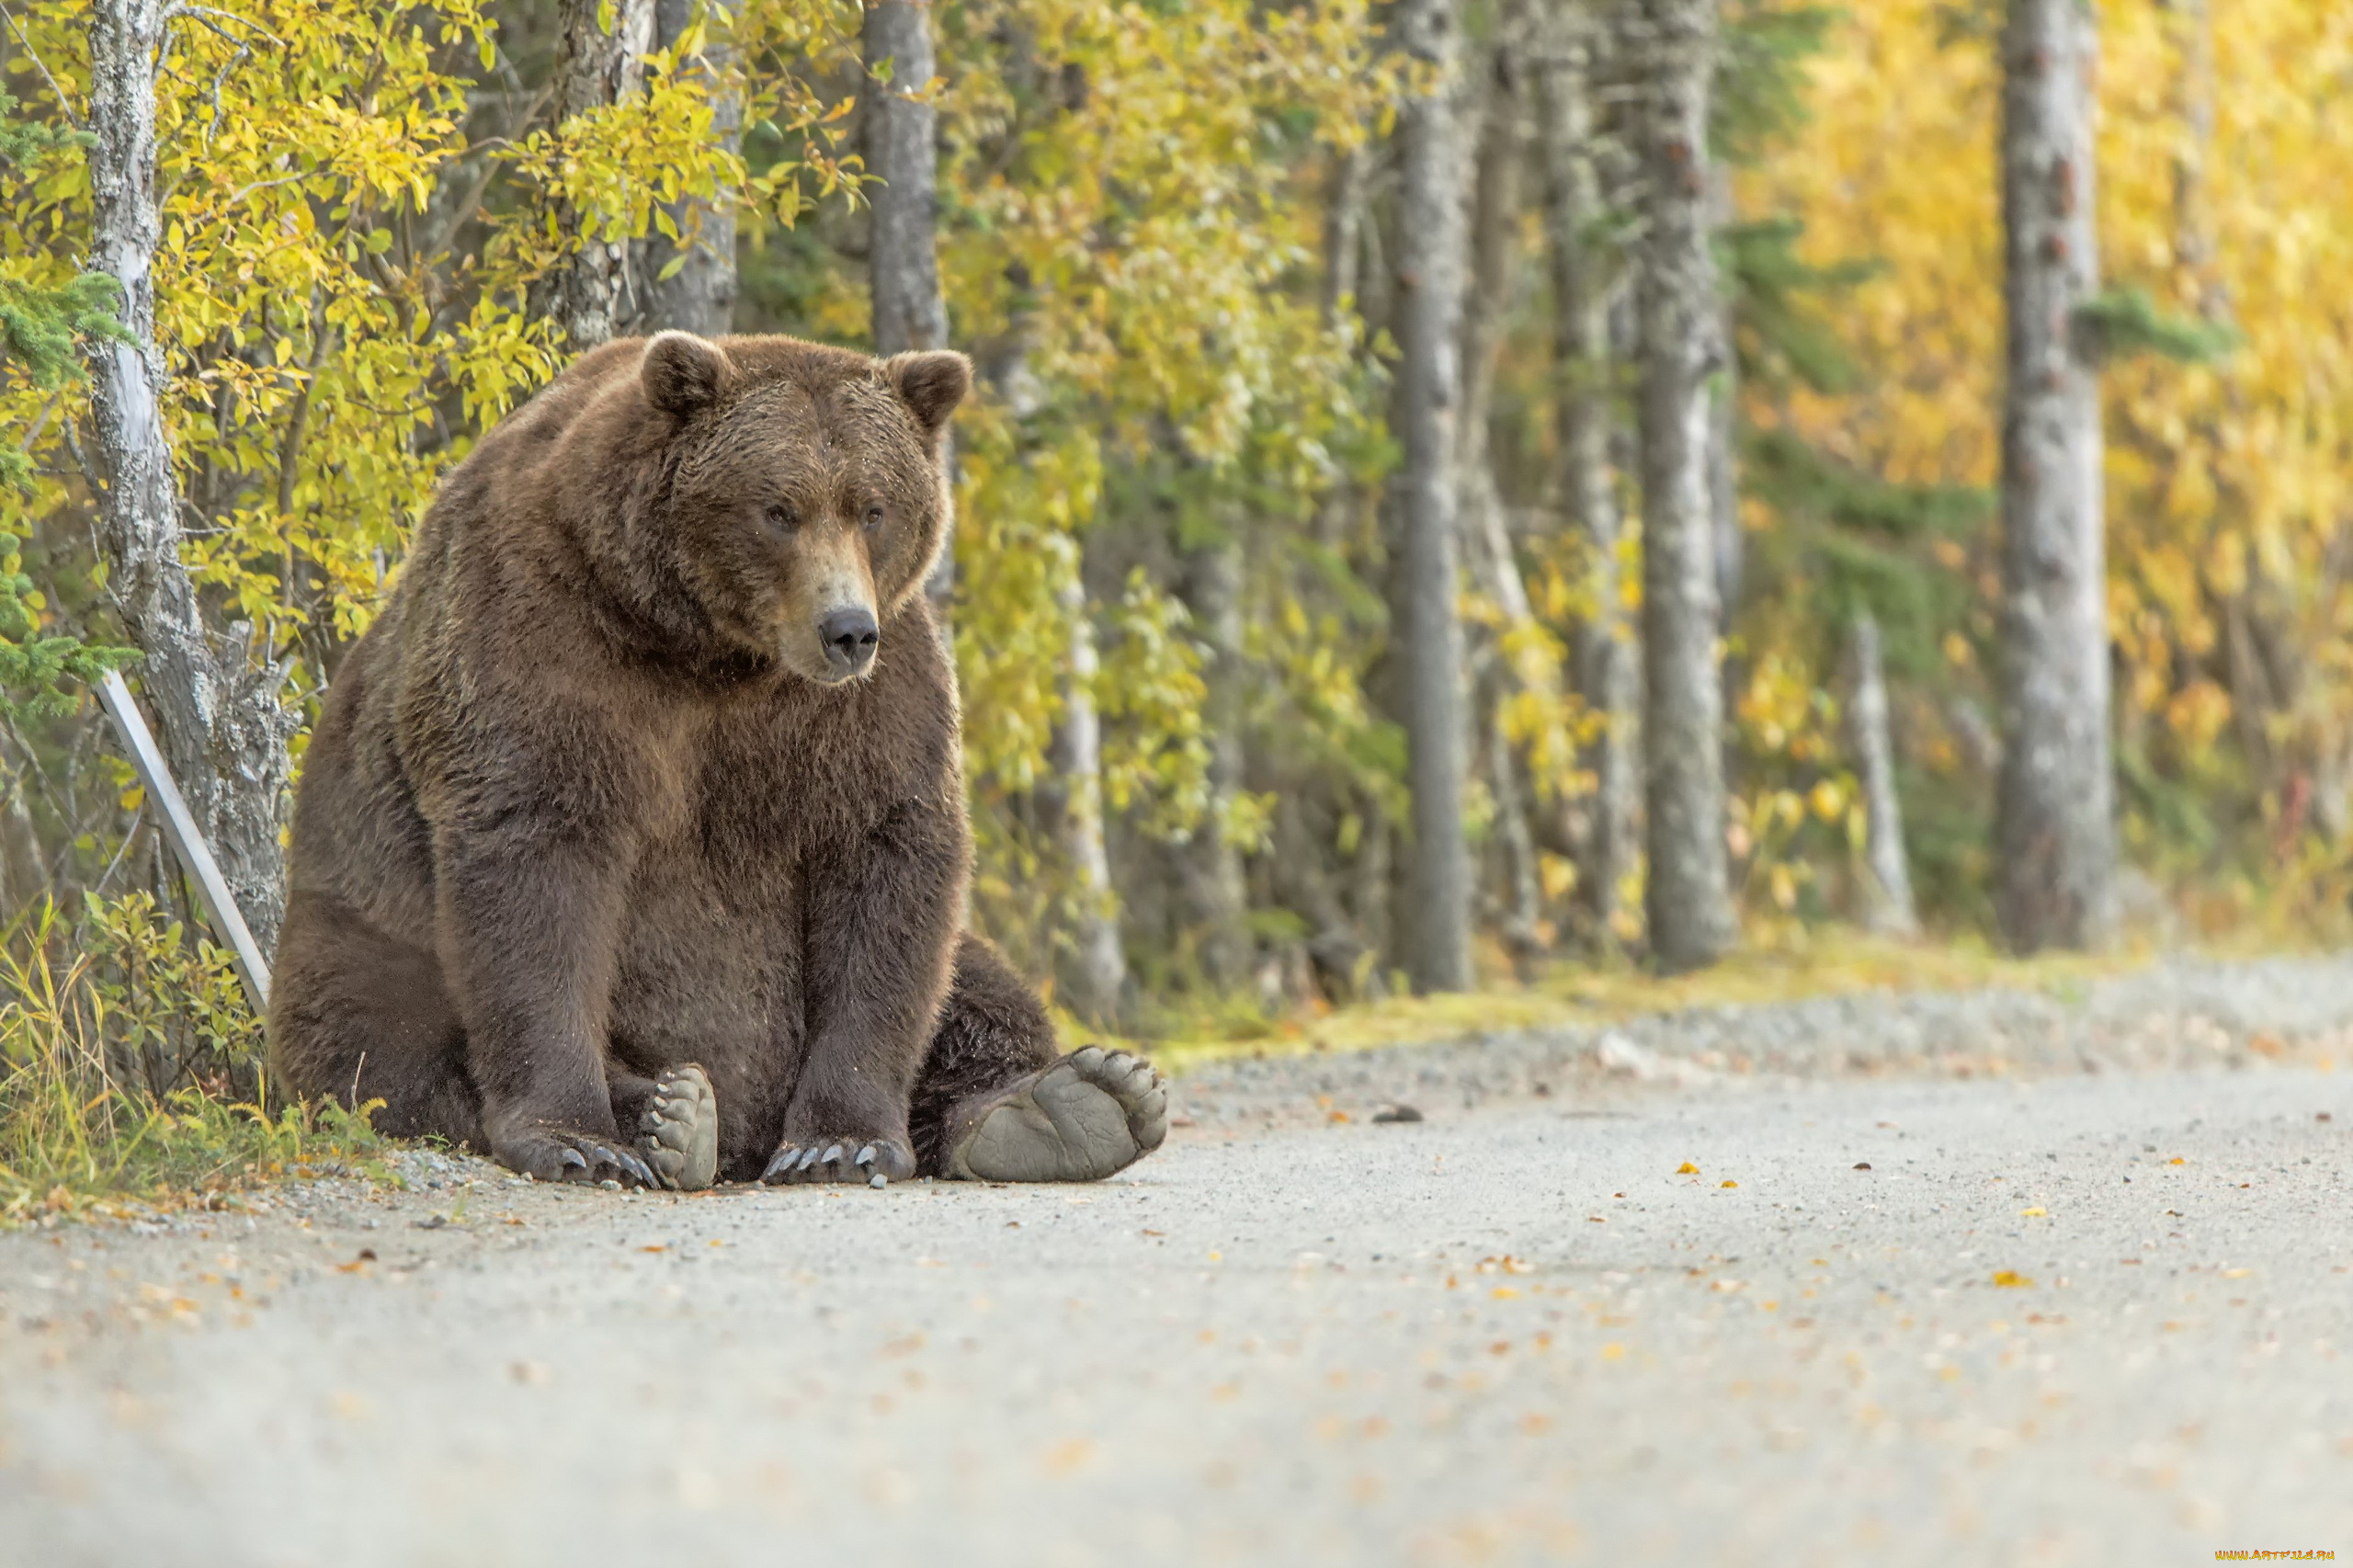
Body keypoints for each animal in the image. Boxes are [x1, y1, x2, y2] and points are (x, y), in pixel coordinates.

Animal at [267, 329, 1166, 1187]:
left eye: (874, 506)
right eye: (779, 508)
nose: (846, 629)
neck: (710, 649)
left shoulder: (868, 701)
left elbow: (887, 863)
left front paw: (840, 1142)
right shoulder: (537, 635)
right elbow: (537, 861)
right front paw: (576, 1139)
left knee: (976, 981)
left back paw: (1069, 1103)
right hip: (363, 923)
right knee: (382, 1037)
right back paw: (671, 1113)